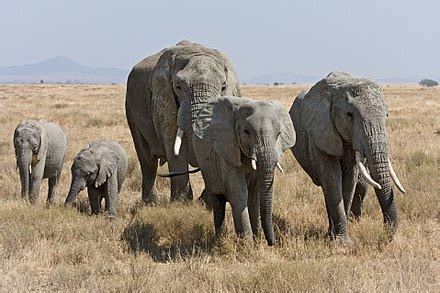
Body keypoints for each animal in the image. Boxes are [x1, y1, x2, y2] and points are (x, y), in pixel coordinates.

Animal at [124, 39, 241, 203]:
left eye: (223, 87)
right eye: (178, 87)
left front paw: (205, 203)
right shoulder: (164, 97)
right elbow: (172, 143)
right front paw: (181, 203)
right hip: (130, 107)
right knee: (147, 160)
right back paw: (151, 203)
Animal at [192, 96, 296, 244]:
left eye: (278, 135)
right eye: (246, 132)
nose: (272, 242)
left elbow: (255, 195)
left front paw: (257, 241)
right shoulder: (228, 150)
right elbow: (239, 192)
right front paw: (247, 244)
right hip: (207, 168)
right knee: (218, 203)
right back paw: (219, 239)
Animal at [288, 71, 406, 242]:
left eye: (387, 114)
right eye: (350, 115)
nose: (384, 236)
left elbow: (349, 180)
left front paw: (336, 238)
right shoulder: (320, 135)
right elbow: (332, 179)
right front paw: (342, 242)